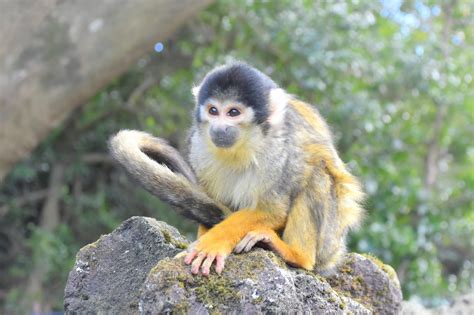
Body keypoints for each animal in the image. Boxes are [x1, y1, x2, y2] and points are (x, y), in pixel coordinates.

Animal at [109, 63, 364, 278]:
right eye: (213, 110)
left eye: (233, 112)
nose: (220, 128)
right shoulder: (197, 144)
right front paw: (206, 237)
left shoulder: (281, 150)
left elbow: (273, 210)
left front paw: (213, 242)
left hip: (329, 242)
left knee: (317, 174)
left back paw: (297, 256)